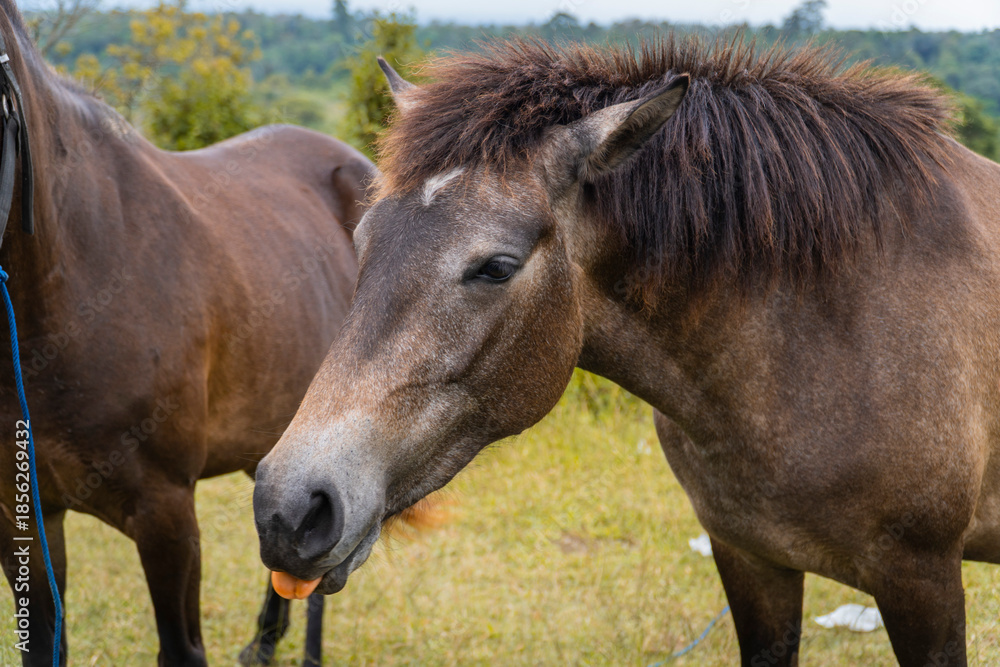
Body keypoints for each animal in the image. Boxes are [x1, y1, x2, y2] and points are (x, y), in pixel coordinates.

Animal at [252, 36, 1000, 666]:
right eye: (363, 238)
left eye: (496, 267)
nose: (290, 508)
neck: (817, 341)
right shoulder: (750, 560)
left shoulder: (921, 579)